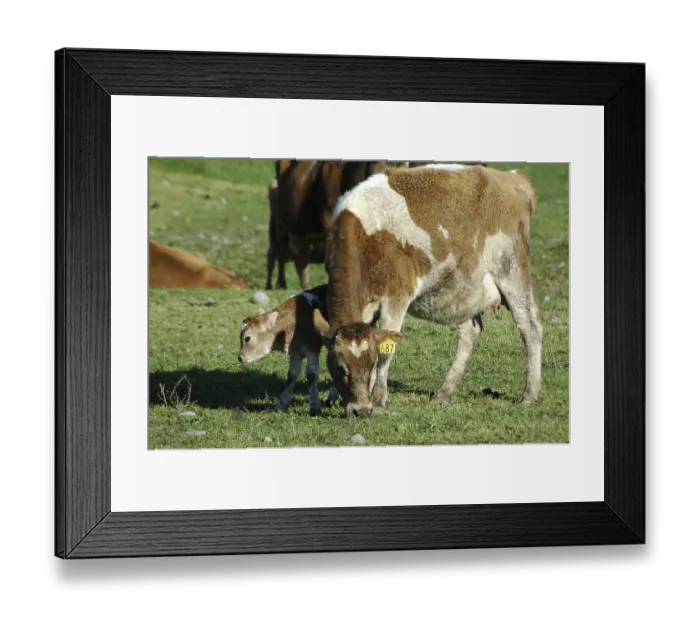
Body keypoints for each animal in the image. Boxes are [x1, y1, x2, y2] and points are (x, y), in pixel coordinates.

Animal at [238, 284, 334, 415]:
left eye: (247, 338)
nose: (240, 357)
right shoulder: (295, 352)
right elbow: (292, 375)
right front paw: (283, 403)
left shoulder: (312, 347)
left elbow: (311, 374)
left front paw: (314, 405)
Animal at [311, 164, 542, 417]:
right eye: (339, 367)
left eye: (371, 364)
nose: (361, 411)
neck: (364, 234)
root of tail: (513, 177)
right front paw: (334, 396)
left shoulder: (397, 295)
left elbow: (387, 350)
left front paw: (379, 401)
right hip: (465, 286)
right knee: (470, 331)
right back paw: (445, 392)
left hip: (511, 269)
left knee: (530, 327)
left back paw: (530, 394)